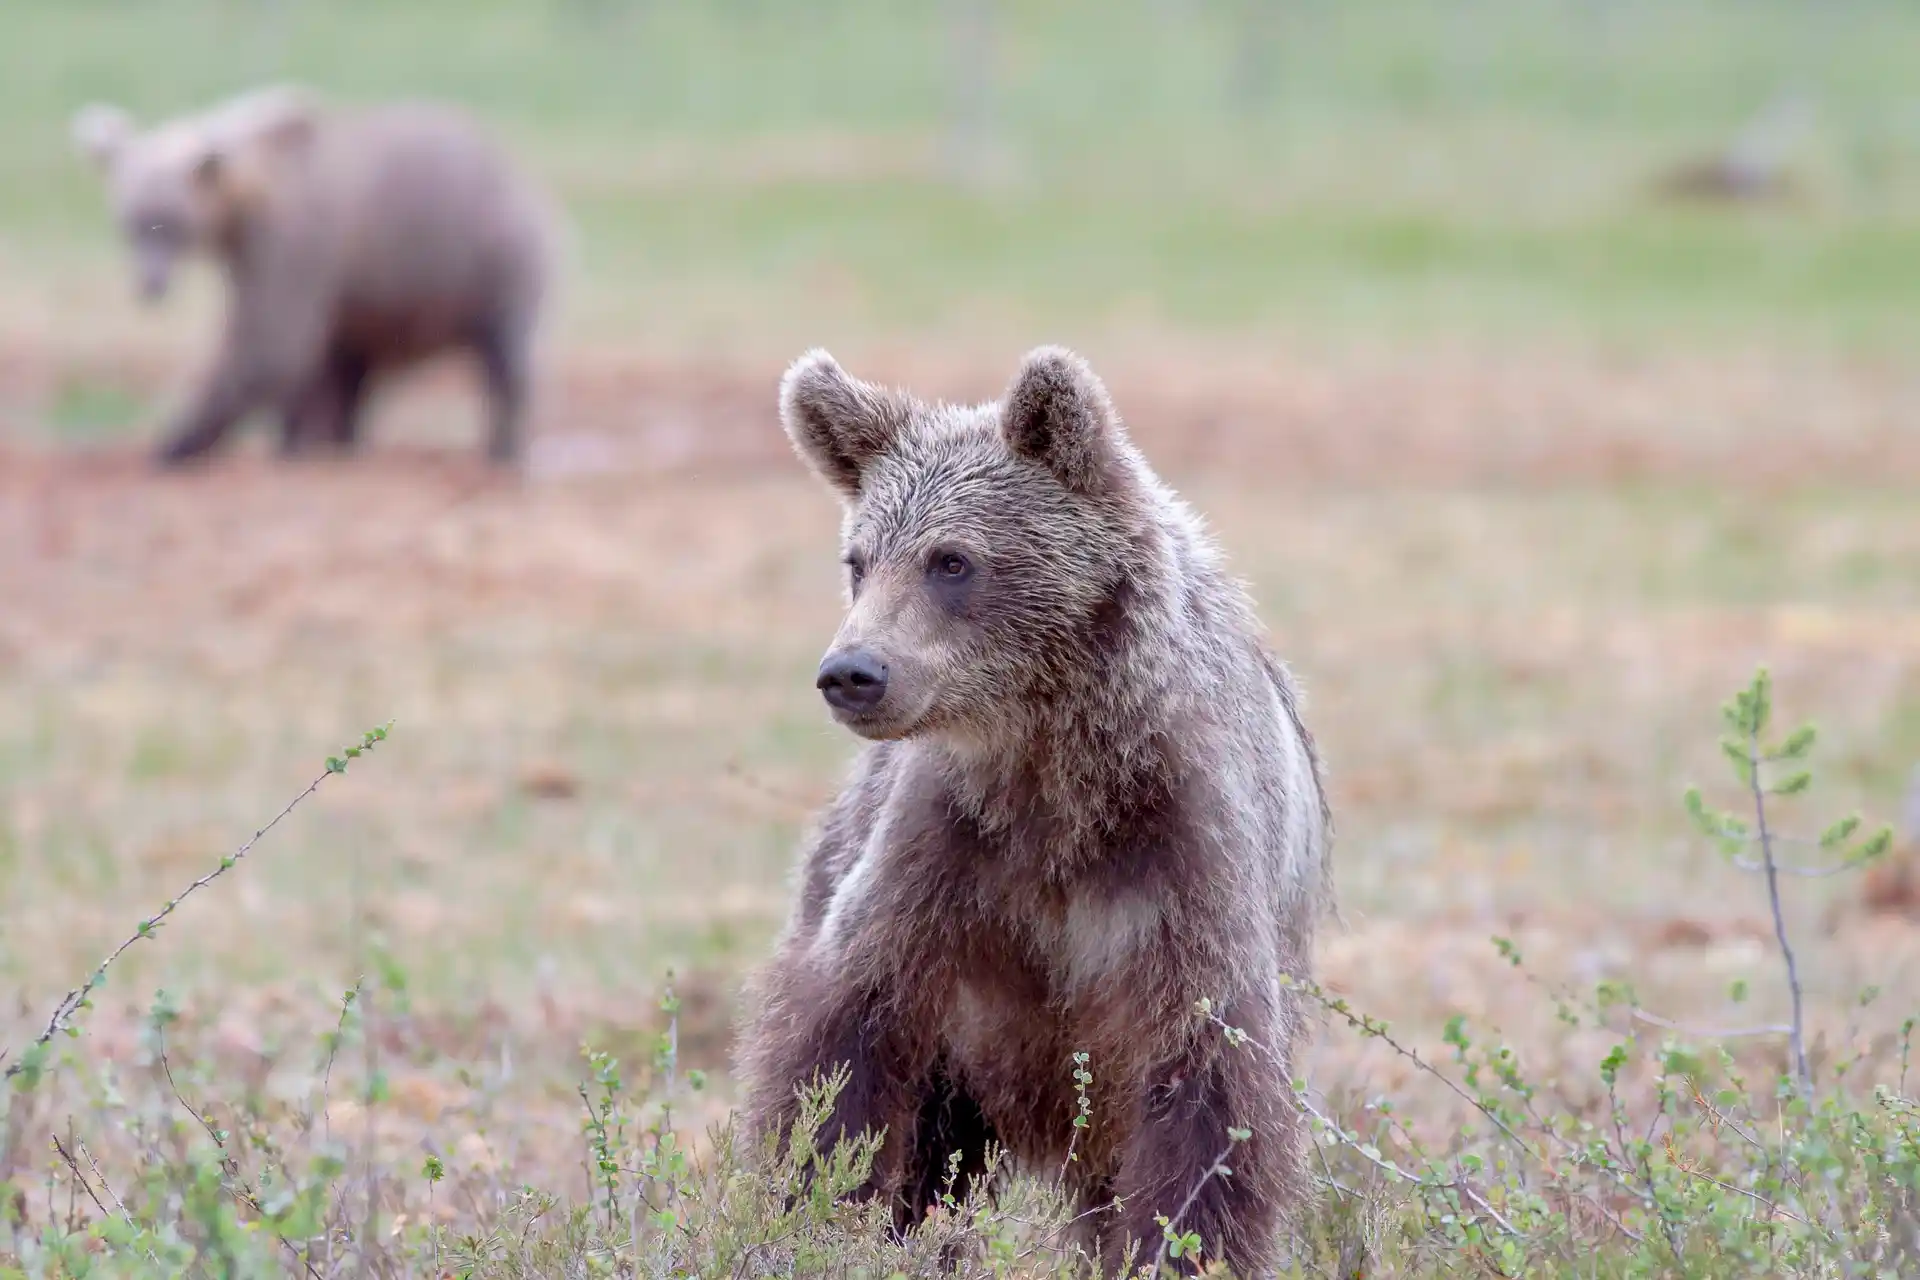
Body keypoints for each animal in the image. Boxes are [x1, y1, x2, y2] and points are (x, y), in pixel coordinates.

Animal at [71, 88, 560, 470]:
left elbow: (270, 341)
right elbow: (301, 358)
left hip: (493, 259)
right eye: (131, 222)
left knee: (505, 355)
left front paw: (174, 443)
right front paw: (289, 442)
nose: (149, 286)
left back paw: (502, 452)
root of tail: (528, 181)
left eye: (169, 223)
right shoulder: (282, 260)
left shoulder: (294, 241)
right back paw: (343, 442)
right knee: (355, 366)